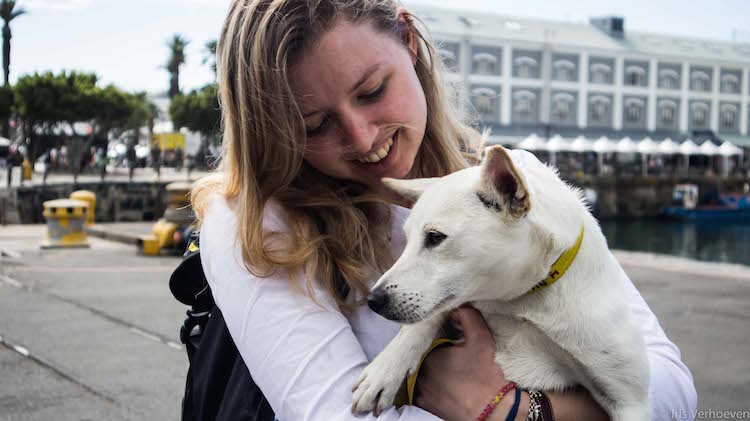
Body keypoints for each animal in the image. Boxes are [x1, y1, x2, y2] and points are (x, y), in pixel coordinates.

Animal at [354, 145, 652, 420]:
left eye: (435, 237)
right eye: (408, 238)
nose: (373, 301)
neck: (521, 303)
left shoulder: (628, 400)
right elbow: (427, 318)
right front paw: (384, 369)